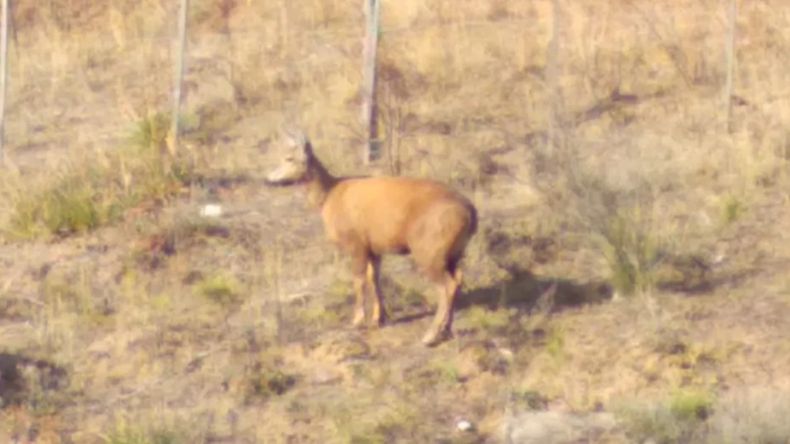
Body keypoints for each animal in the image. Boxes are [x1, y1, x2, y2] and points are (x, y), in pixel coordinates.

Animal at [266, 132, 480, 346]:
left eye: (289, 158)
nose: (268, 180)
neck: (329, 196)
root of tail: (470, 211)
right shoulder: (374, 249)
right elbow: (373, 278)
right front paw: (379, 319)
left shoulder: (356, 244)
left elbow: (359, 280)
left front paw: (357, 321)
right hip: (453, 253)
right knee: (458, 279)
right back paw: (447, 330)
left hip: (429, 251)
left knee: (447, 286)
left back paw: (430, 336)